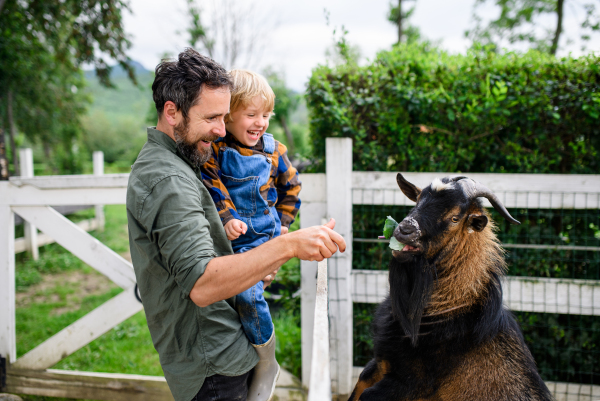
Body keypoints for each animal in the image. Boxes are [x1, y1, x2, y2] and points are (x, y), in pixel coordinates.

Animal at [352, 173, 552, 400]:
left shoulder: (410, 383)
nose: (404, 230)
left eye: (455, 218)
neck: (448, 308)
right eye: (418, 200)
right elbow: (361, 381)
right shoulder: (382, 363)